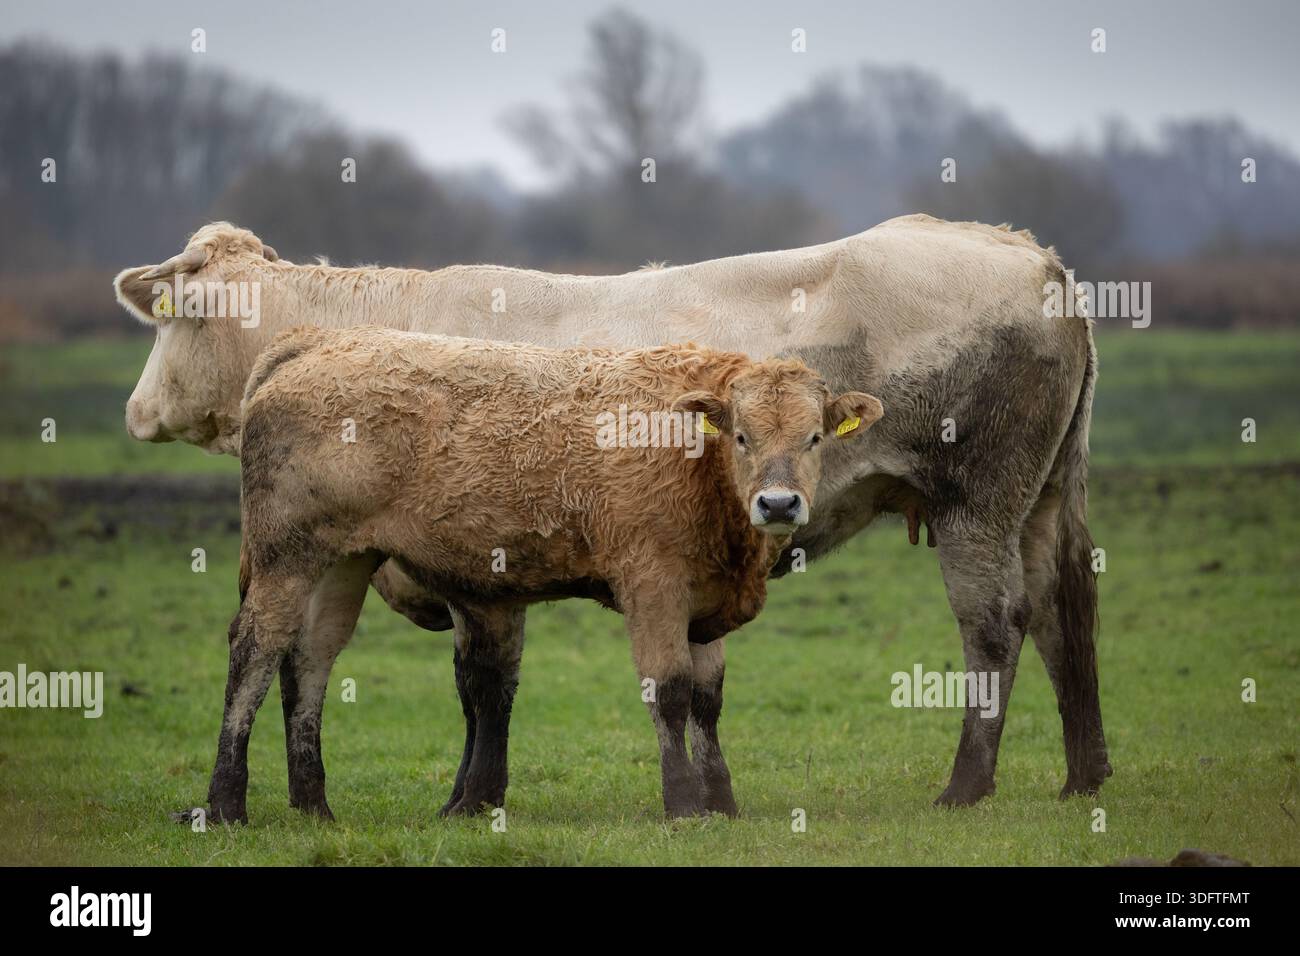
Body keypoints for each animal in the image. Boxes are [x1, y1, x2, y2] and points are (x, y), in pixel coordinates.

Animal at [211, 325, 882, 822]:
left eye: (815, 437)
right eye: (741, 436)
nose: (778, 504)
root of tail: (314, 343)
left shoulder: (705, 604)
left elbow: (707, 701)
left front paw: (722, 803)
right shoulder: (653, 585)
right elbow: (668, 691)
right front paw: (685, 806)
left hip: (342, 561)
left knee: (310, 658)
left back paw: (313, 807)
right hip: (285, 554)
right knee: (256, 648)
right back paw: (224, 805)